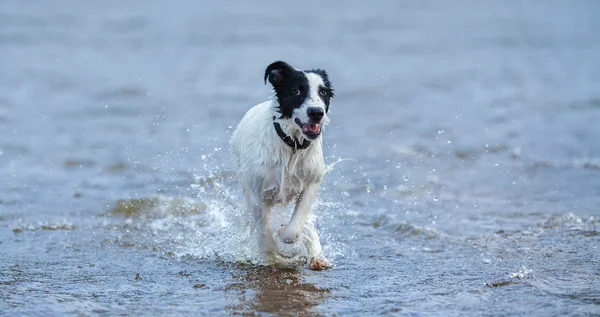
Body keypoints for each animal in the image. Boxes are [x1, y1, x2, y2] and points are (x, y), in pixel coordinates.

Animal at [230, 59, 336, 270]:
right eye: (296, 91)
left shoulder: (312, 181)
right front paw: (273, 255)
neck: (292, 146)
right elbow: (264, 233)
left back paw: (316, 255)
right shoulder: (257, 195)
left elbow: (295, 227)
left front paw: (284, 232)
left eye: (323, 92)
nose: (316, 113)